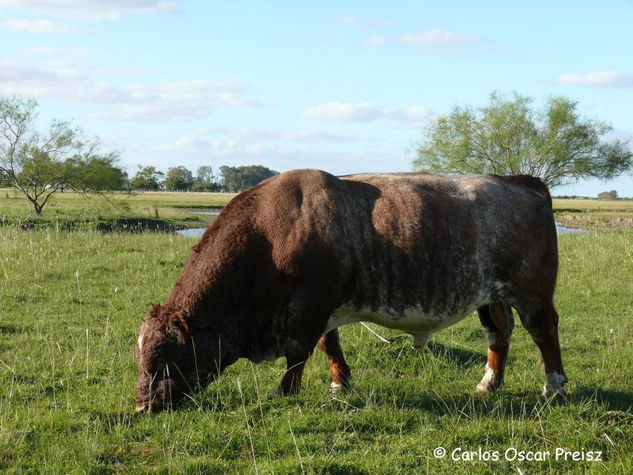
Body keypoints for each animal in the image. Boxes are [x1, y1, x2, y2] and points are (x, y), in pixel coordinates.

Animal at [135, 170, 568, 412]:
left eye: (165, 359)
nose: (142, 406)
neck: (272, 233)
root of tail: (516, 182)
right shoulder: (325, 309)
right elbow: (329, 345)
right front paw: (339, 384)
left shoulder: (308, 308)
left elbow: (298, 354)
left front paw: (285, 394)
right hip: (490, 296)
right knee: (499, 334)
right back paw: (488, 384)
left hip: (532, 291)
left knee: (544, 331)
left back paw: (554, 387)